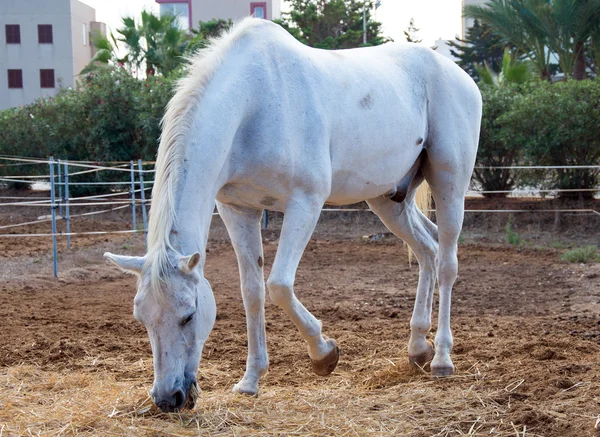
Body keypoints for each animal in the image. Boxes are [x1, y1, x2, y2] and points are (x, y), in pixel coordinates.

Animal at [104, 17, 482, 412]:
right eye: (141, 317)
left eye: (189, 314)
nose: (168, 398)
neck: (252, 103)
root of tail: (460, 76)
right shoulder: (238, 210)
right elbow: (252, 291)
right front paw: (250, 380)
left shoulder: (305, 203)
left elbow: (279, 285)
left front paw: (324, 353)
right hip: (389, 200)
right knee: (427, 249)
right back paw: (418, 347)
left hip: (450, 186)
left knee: (446, 262)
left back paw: (441, 358)